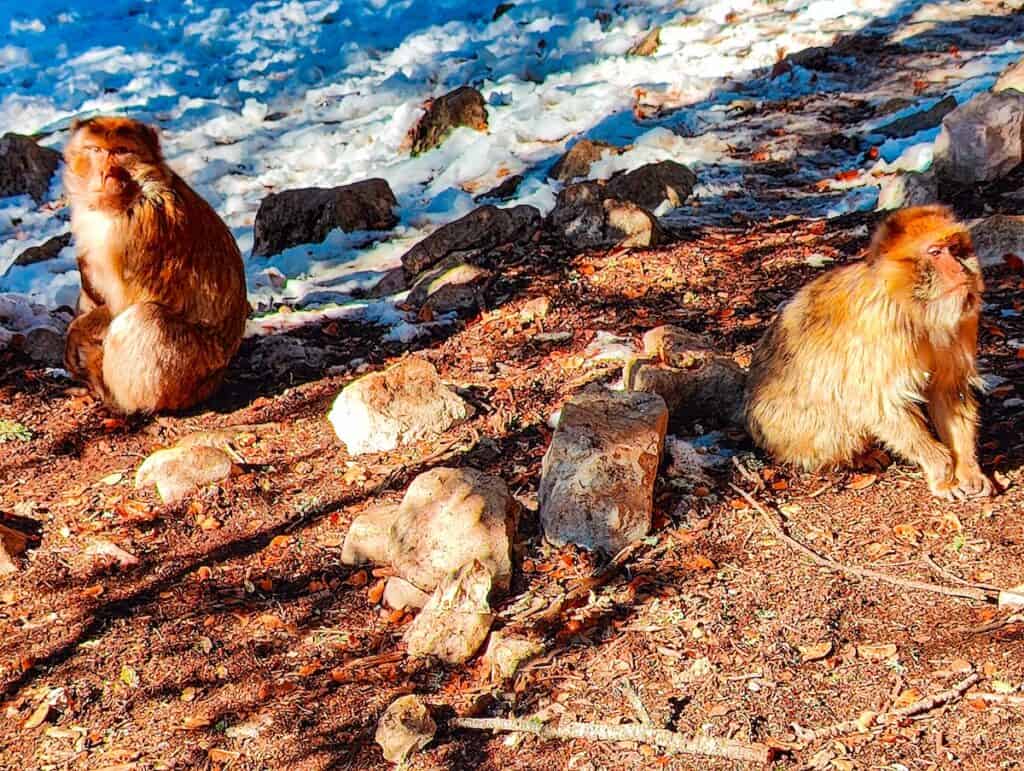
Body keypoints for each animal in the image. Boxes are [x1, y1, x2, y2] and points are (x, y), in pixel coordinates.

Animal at [64, 115, 247, 411]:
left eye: (121, 152)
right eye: (96, 150)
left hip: (191, 370)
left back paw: (120, 401)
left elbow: (127, 301)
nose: (107, 174)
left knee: (146, 317)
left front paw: (77, 331)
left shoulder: (139, 229)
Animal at [745, 204, 991, 499]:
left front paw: (967, 468)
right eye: (935, 252)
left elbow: (949, 390)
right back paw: (856, 457)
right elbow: (878, 403)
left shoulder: (962, 320)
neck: (913, 308)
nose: (960, 269)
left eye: (954, 248)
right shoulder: (880, 325)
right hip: (786, 433)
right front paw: (941, 470)